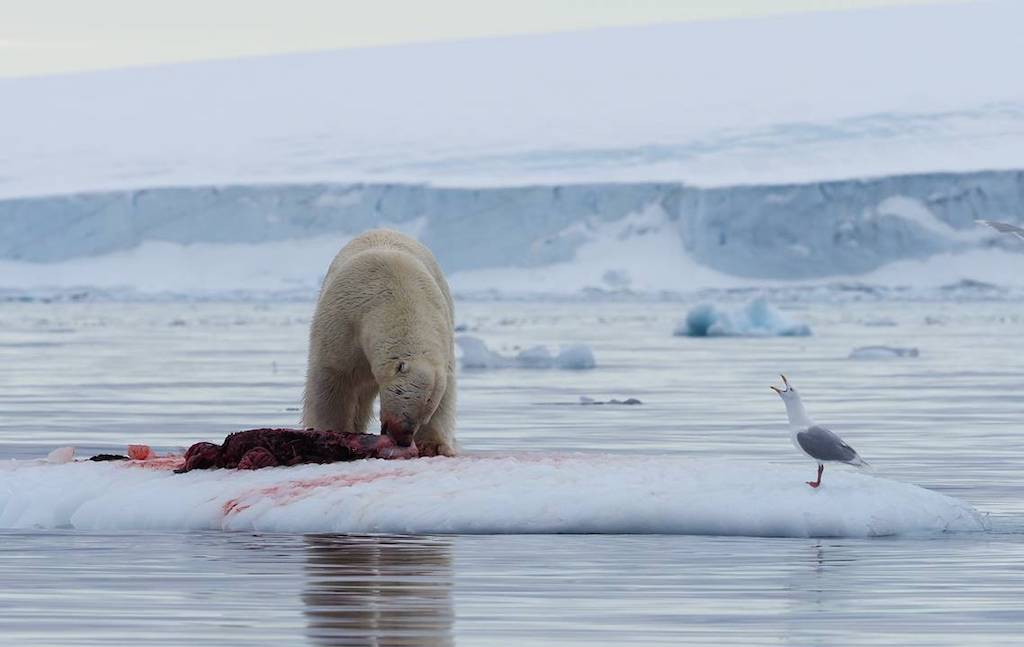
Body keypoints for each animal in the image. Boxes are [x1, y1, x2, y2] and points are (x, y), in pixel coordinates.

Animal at [301, 230, 458, 456]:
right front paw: (330, 431)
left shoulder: (442, 329)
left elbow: (445, 395)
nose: (404, 439)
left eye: (425, 414)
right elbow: (333, 378)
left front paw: (434, 445)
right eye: (405, 400)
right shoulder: (344, 323)